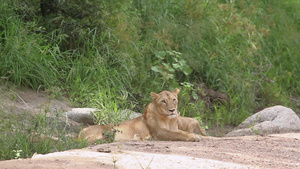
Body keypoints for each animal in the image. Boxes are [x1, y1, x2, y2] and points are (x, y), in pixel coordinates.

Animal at [78, 88, 206, 143]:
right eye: (163, 101)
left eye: (174, 100)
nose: (172, 110)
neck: (169, 120)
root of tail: (80, 132)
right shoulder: (159, 132)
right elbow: (178, 134)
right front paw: (194, 137)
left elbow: (182, 132)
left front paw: (198, 135)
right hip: (106, 130)